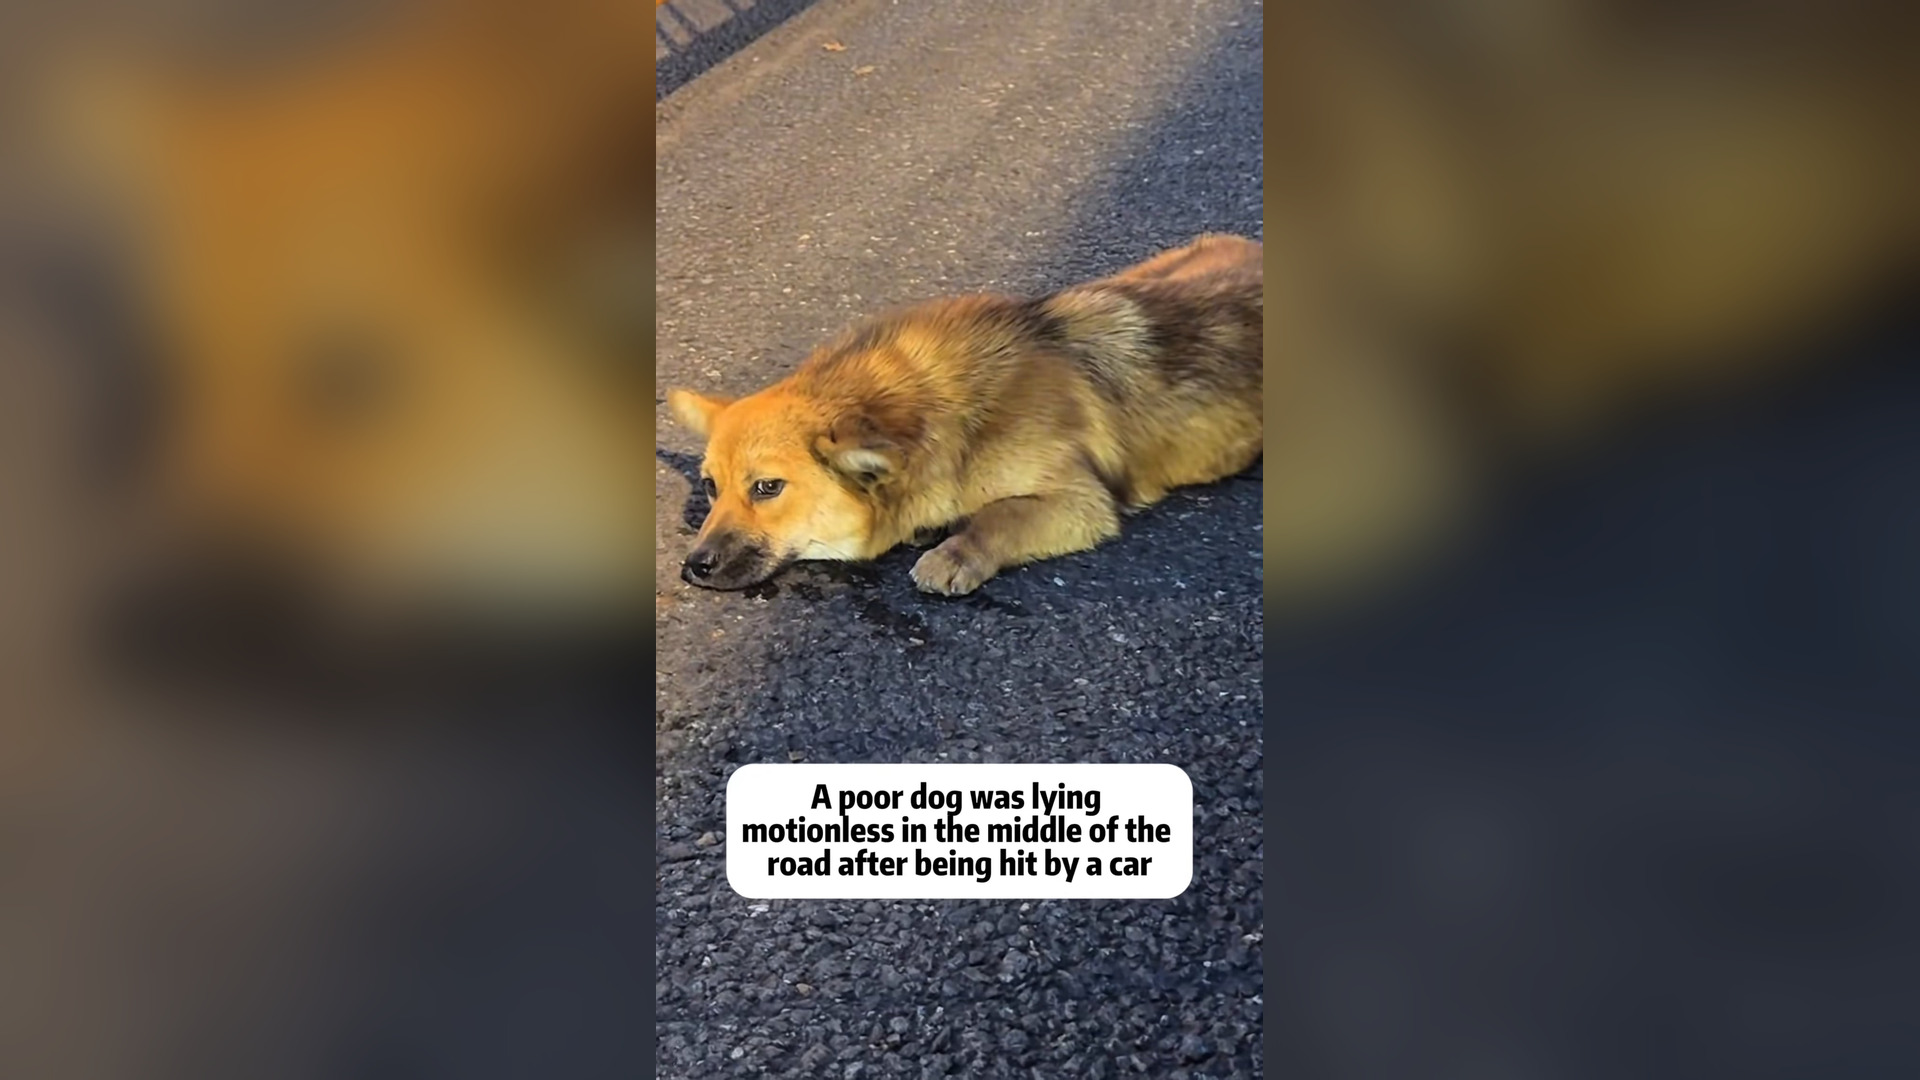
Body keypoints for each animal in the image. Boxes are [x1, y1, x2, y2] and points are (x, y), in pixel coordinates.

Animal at [666, 233, 1264, 595]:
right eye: (711, 487)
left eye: (767, 487)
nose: (693, 566)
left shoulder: (1081, 502)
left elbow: (1001, 516)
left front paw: (957, 549)